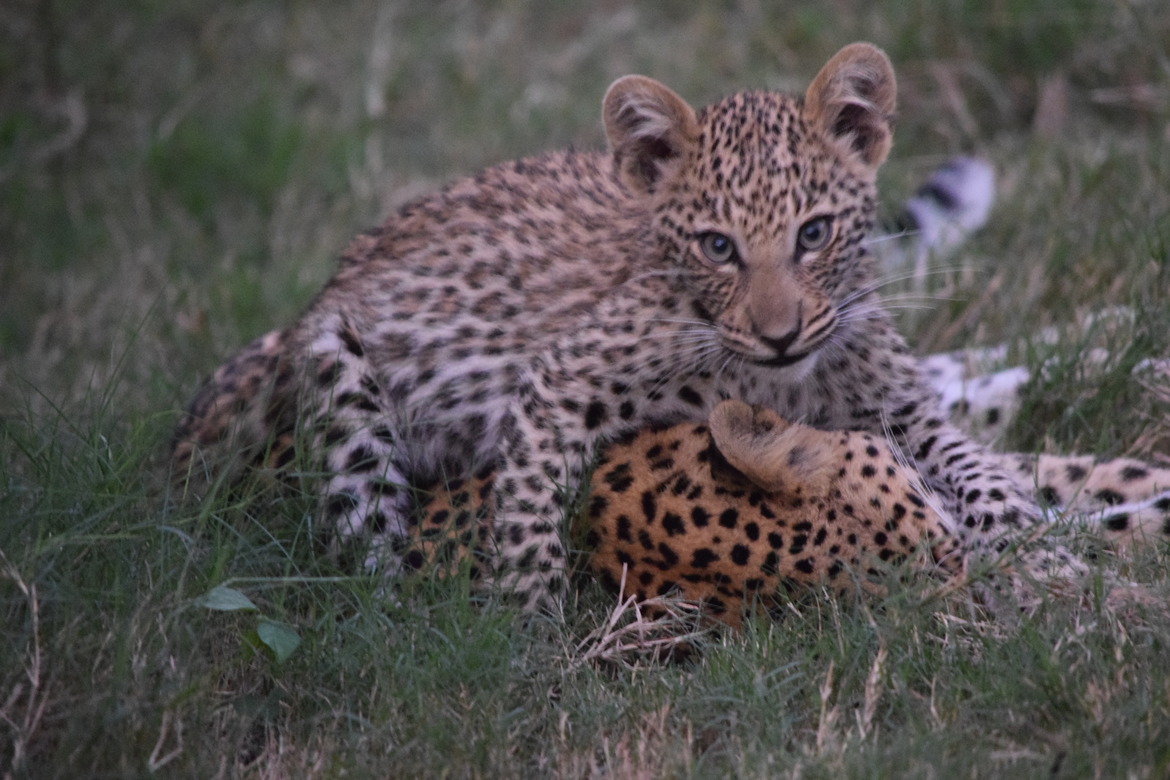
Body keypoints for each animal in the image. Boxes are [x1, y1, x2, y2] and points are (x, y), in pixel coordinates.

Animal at [172, 42, 1078, 613]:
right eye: (718, 247)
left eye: (814, 234)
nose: (782, 334)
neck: (782, 381)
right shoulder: (561, 383)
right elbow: (527, 517)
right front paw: (532, 634)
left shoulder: (899, 409)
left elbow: (980, 469)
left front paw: (1048, 561)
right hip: (345, 394)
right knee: (366, 553)